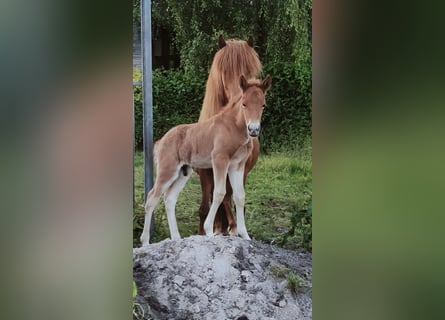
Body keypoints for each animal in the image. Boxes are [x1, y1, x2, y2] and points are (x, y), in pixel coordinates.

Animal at [140, 76, 270, 246]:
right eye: (244, 103)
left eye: (263, 105)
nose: (253, 129)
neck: (233, 127)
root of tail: (161, 141)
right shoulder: (220, 160)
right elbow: (219, 193)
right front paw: (209, 231)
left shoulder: (237, 165)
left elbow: (240, 196)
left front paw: (245, 235)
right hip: (167, 170)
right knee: (151, 198)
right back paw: (145, 242)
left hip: (183, 172)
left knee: (169, 198)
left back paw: (176, 238)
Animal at [196, 35, 262, 236]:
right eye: (224, 71)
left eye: (250, 70)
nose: (240, 99)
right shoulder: (205, 172)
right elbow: (204, 206)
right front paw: (203, 232)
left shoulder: (239, 168)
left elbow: (229, 197)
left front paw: (232, 227)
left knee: (229, 196)